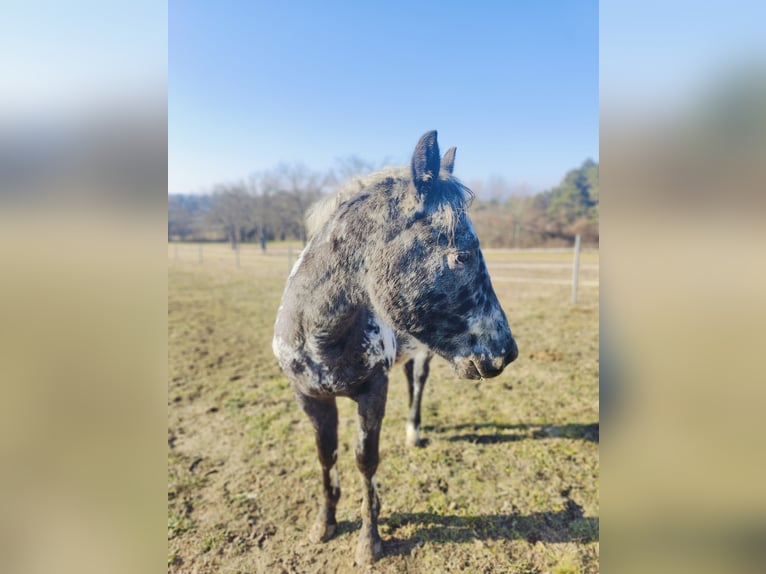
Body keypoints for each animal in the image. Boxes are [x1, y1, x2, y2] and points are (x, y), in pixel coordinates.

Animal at [272, 132, 520, 568]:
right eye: (463, 255)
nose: (506, 351)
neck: (317, 334)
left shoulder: (373, 391)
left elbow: (364, 460)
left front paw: (369, 541)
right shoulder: (310, 398)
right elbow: (326, 456)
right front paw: (324, 524)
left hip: (421, 358)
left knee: (416, 387)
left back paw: (413, 433)